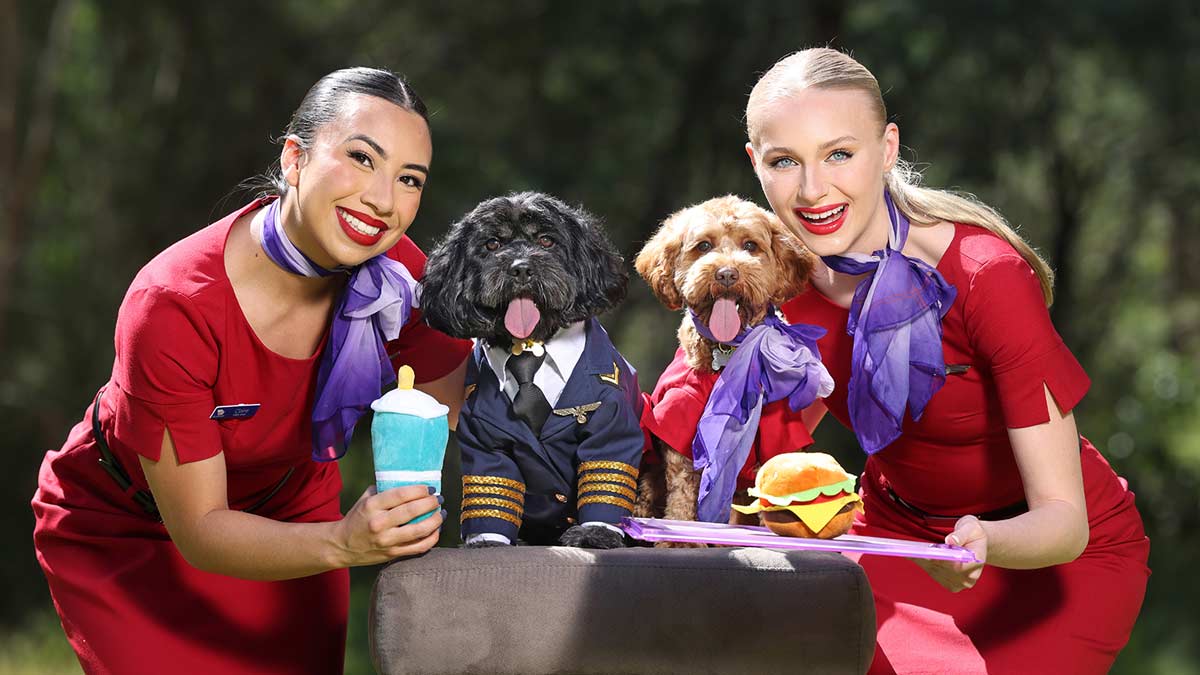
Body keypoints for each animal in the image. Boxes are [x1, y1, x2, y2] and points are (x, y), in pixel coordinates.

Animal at [422, 193, 648, 547]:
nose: (521, 269)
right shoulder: (485, 442)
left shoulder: (610, 422)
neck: (530, 346)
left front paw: (595, 535)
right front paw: (487, 542)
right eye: (492, 244)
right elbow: (493, 490)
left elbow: (606, 469)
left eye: (546, 240)